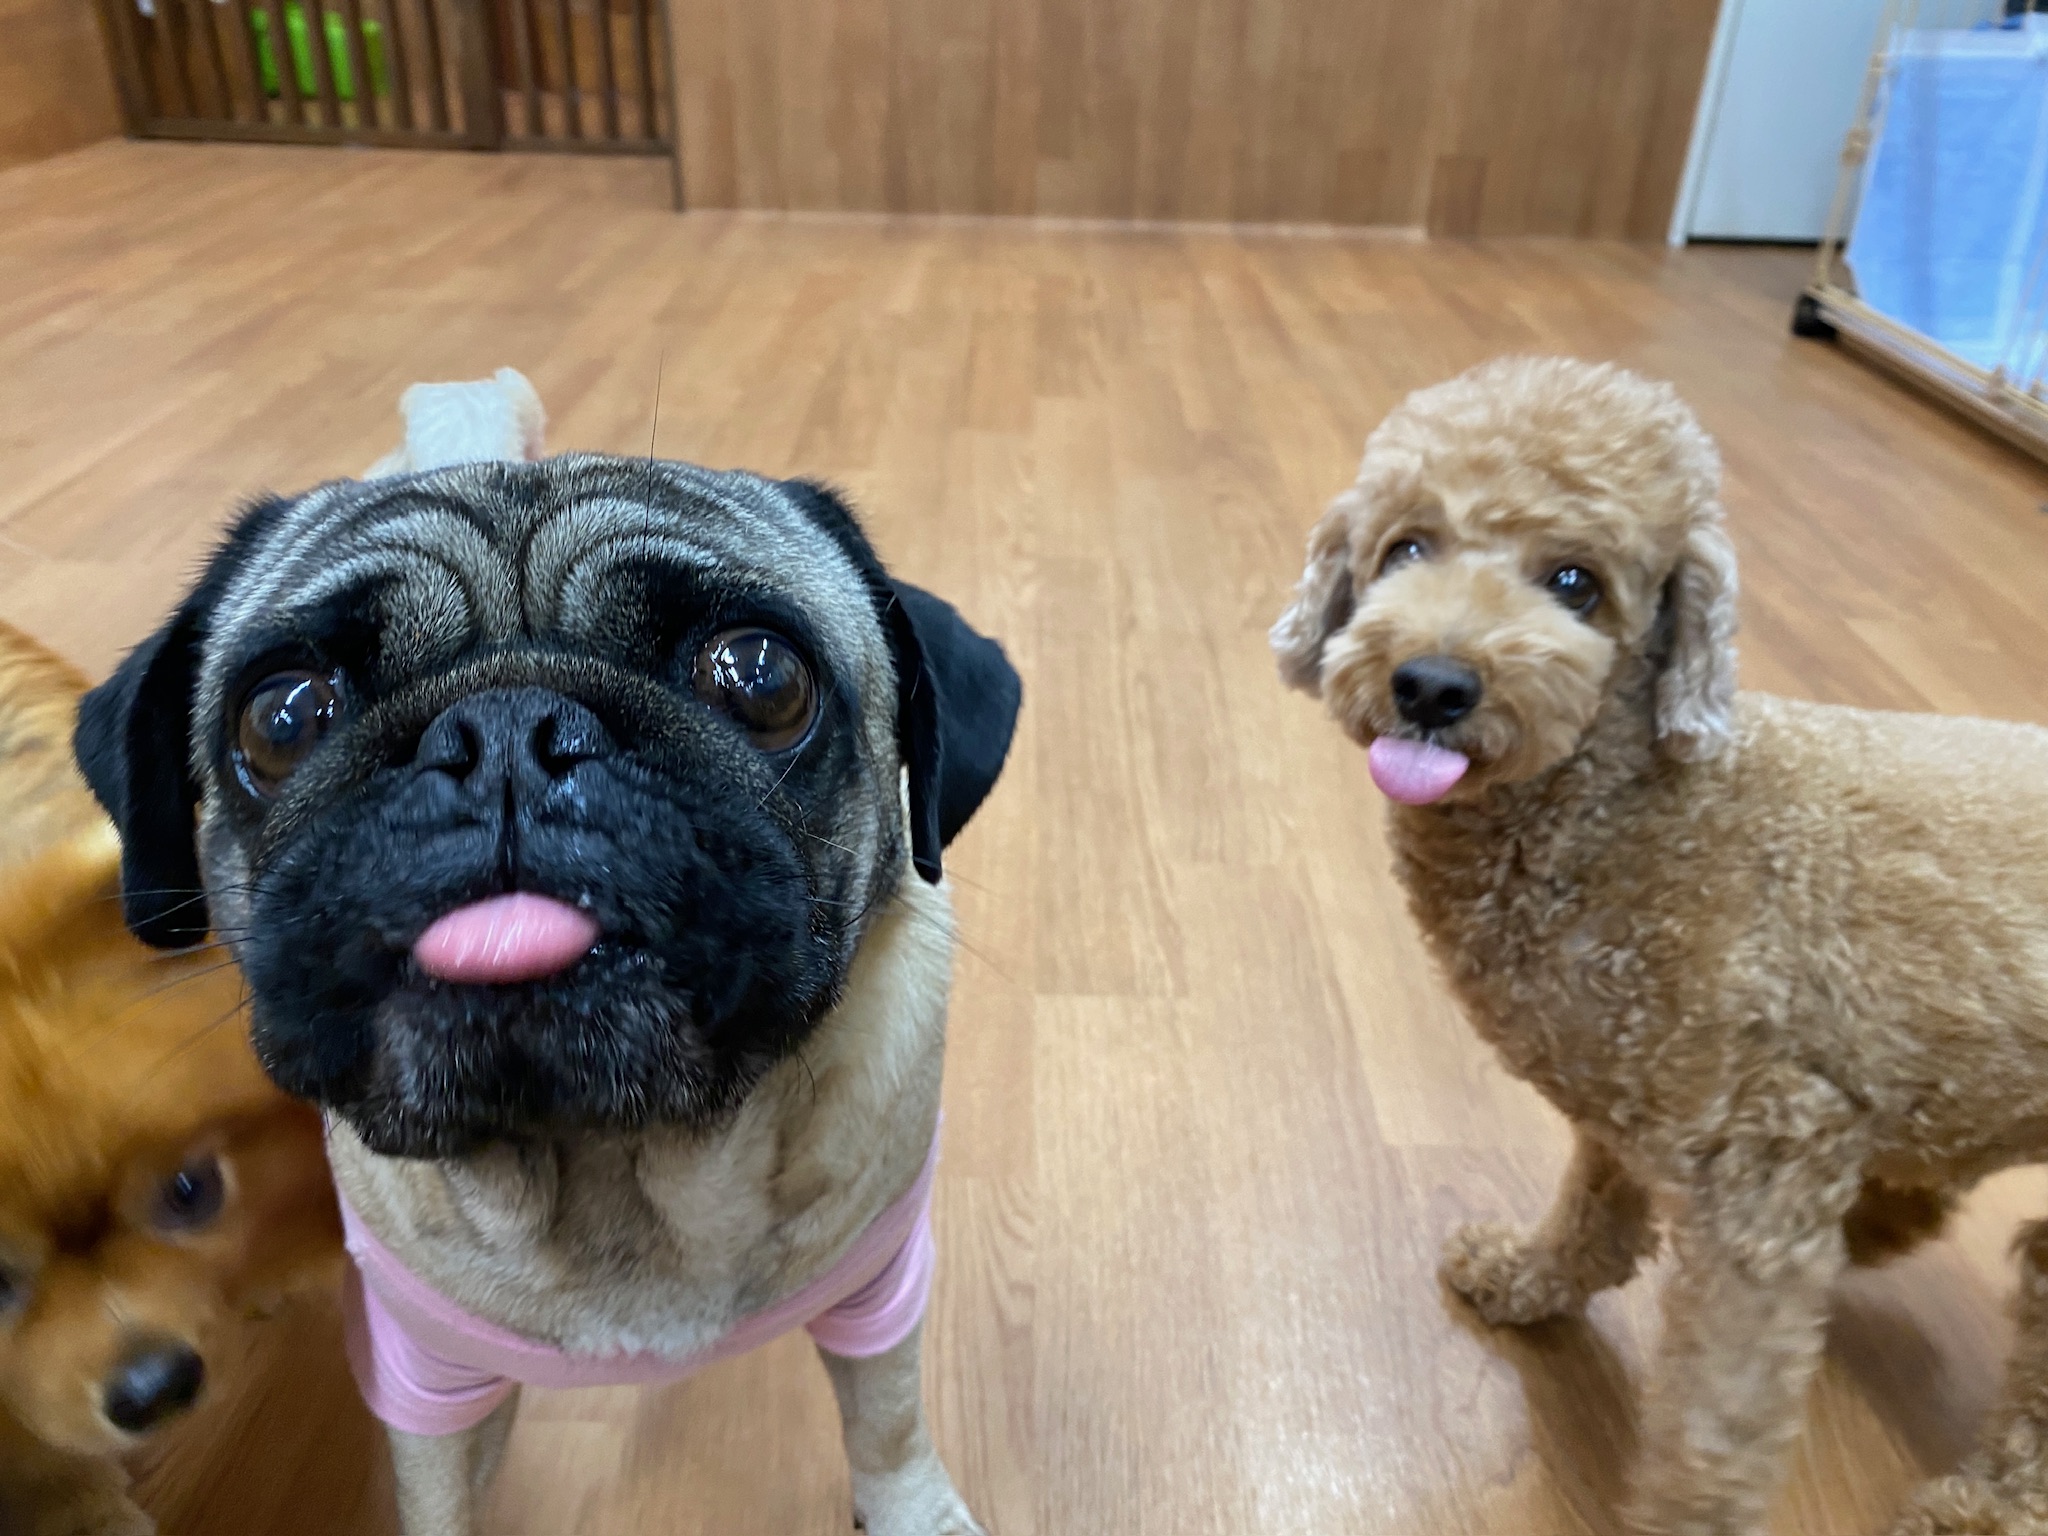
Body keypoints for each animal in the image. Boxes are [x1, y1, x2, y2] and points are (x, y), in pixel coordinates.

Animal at [74, 456, 1022, 1536]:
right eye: (283, 717)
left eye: (760, 677)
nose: (505, 729)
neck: (611, 1158)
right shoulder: (424, 1375)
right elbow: (435, 1499)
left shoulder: (880, 1288)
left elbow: (888, 1426)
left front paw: (915, 1512)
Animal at [1272, 356, 2048, 1536]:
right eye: (1406, 547)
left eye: (1576, 583)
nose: (1433, 685)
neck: (1631, 815)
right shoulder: (1624, 1095)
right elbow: (1591, 1215)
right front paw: (1528, 1279)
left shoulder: (1769, 1173)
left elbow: (1714, 1419)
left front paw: (1689, 1513)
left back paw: (1978, 1506)